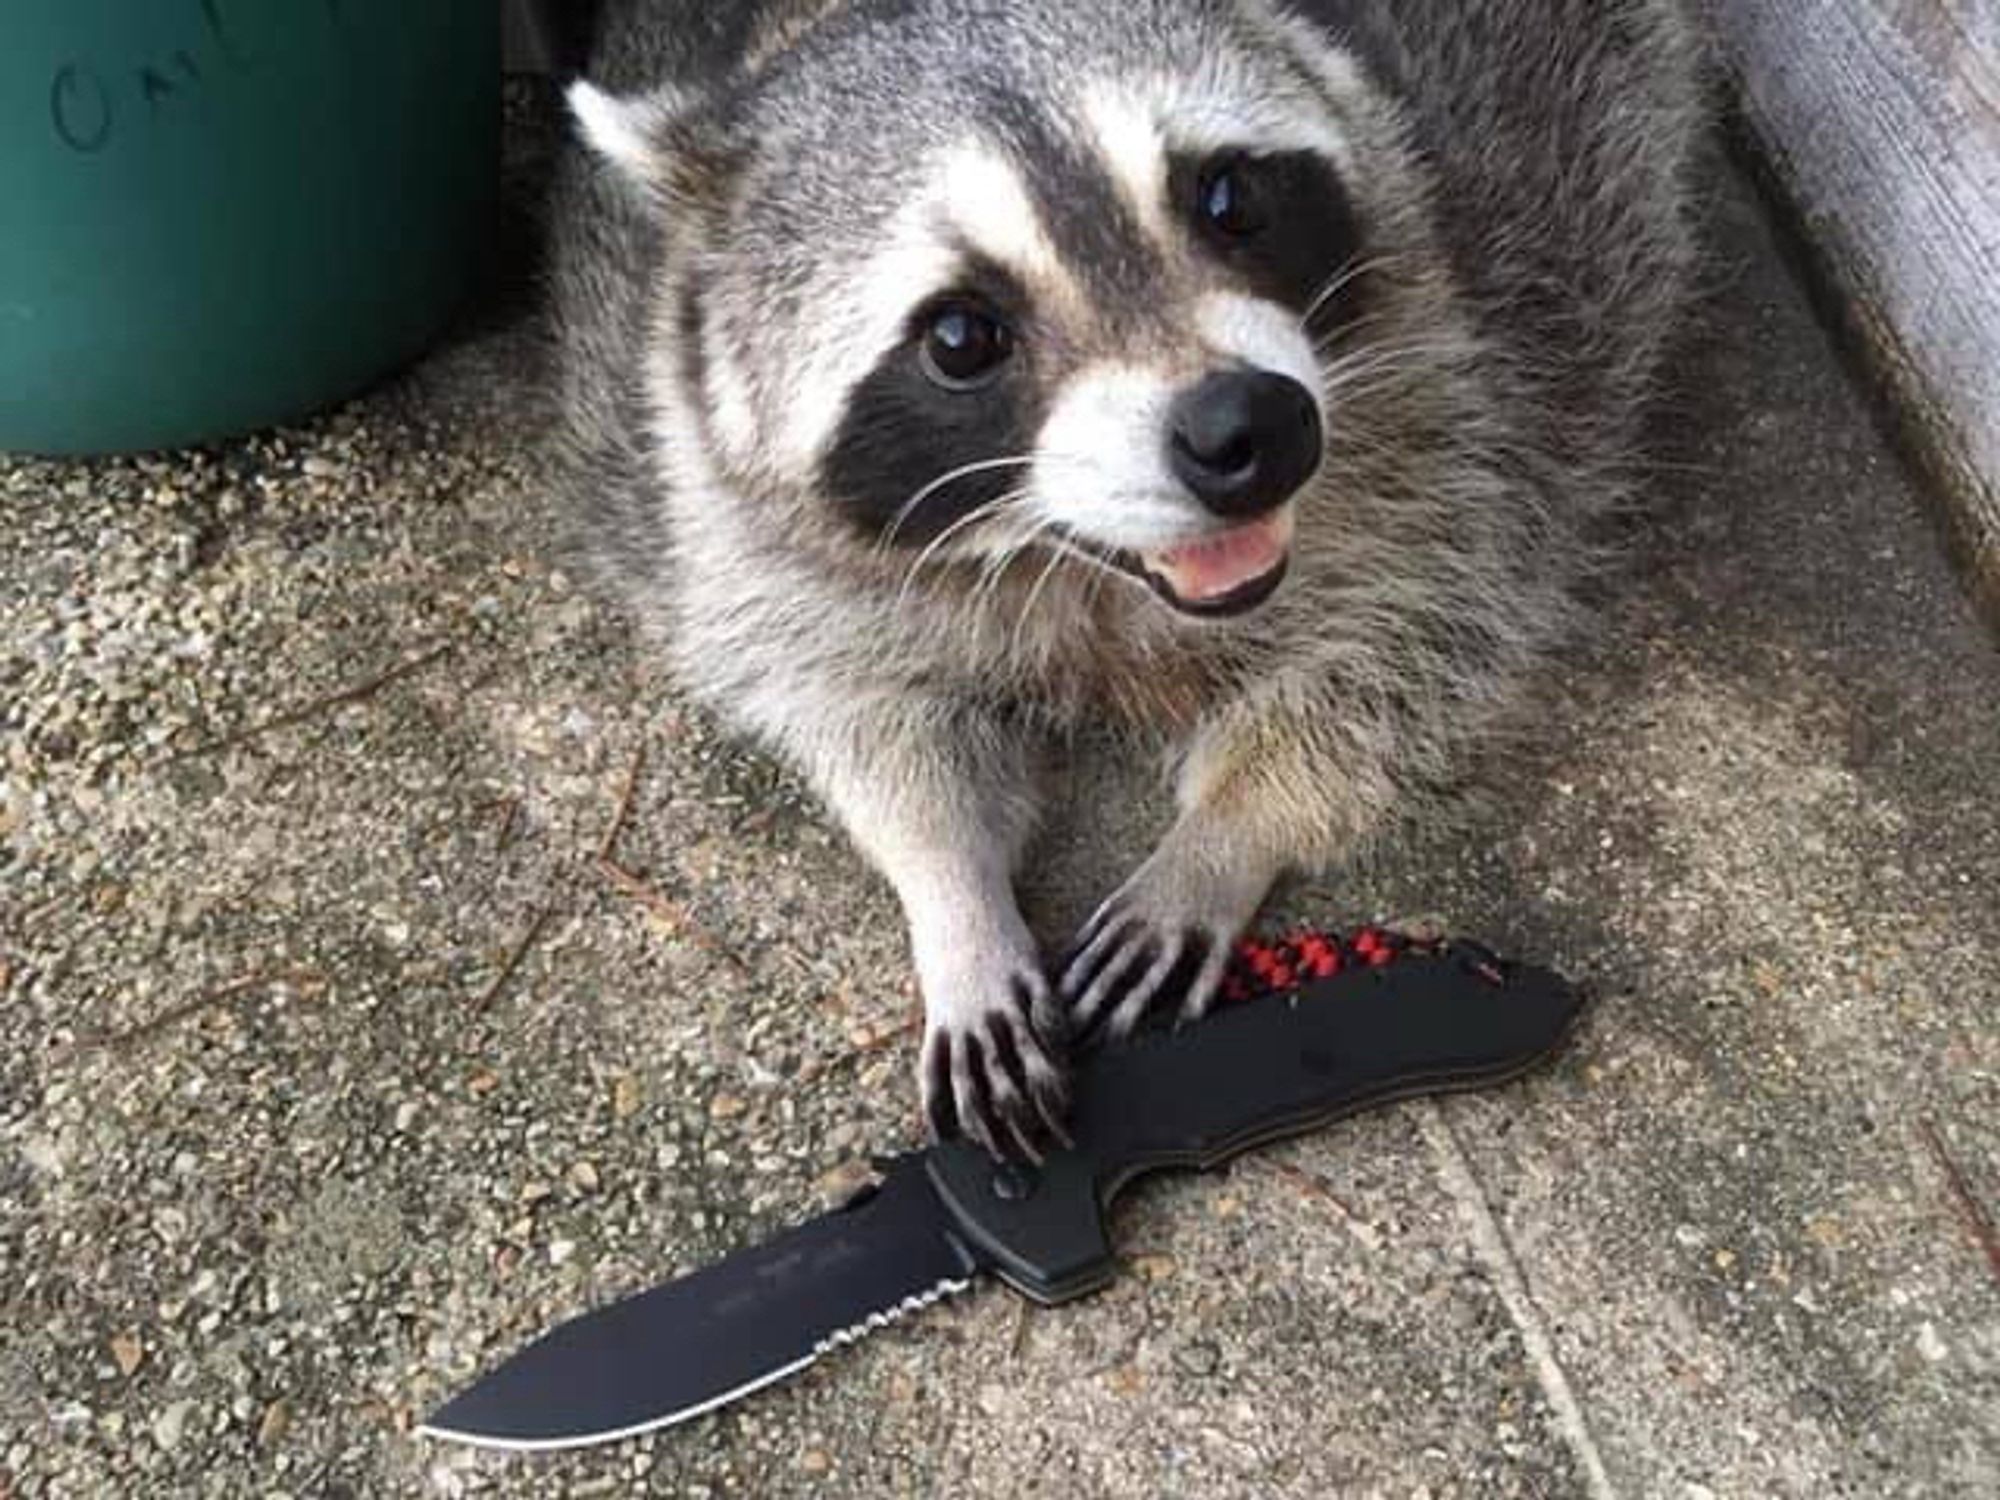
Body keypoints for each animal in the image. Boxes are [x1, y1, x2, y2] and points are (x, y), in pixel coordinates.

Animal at [552, 0, 1704, 1160]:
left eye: (1230, 197)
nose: (1248, 426)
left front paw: (1226, 835)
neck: (1087, 570)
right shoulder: (713, 503)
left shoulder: (1484, 366)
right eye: (960, 335)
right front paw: (952, 897)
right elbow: (858, 708)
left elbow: (1416, 634)